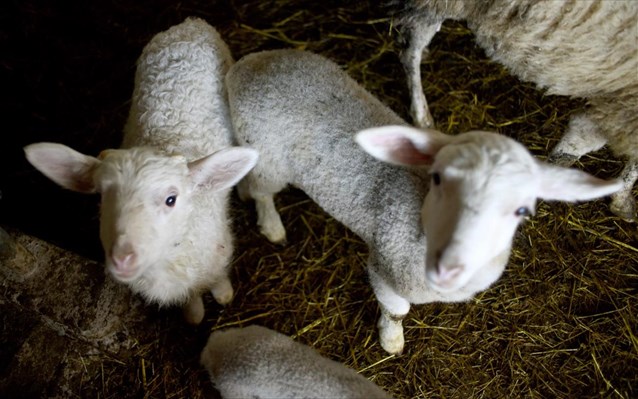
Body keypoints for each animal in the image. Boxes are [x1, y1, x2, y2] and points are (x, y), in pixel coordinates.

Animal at [23, 17, 258, 326]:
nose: (123, 258)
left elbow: (217, 280)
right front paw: (194, 313)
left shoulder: (215, 256)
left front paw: (223, 294)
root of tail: (190, 23)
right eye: (103, 196)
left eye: (171, 199)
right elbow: (193, 303)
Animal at [226, 49, 624, 354]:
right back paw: (272, 227)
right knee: (262, 193)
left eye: (522, 209)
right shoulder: (384, 270)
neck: (419, 217)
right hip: (269, 159)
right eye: (438, 179)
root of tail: (250, 63)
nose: (451, 265)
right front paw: (391, 342)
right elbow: (396, 312)